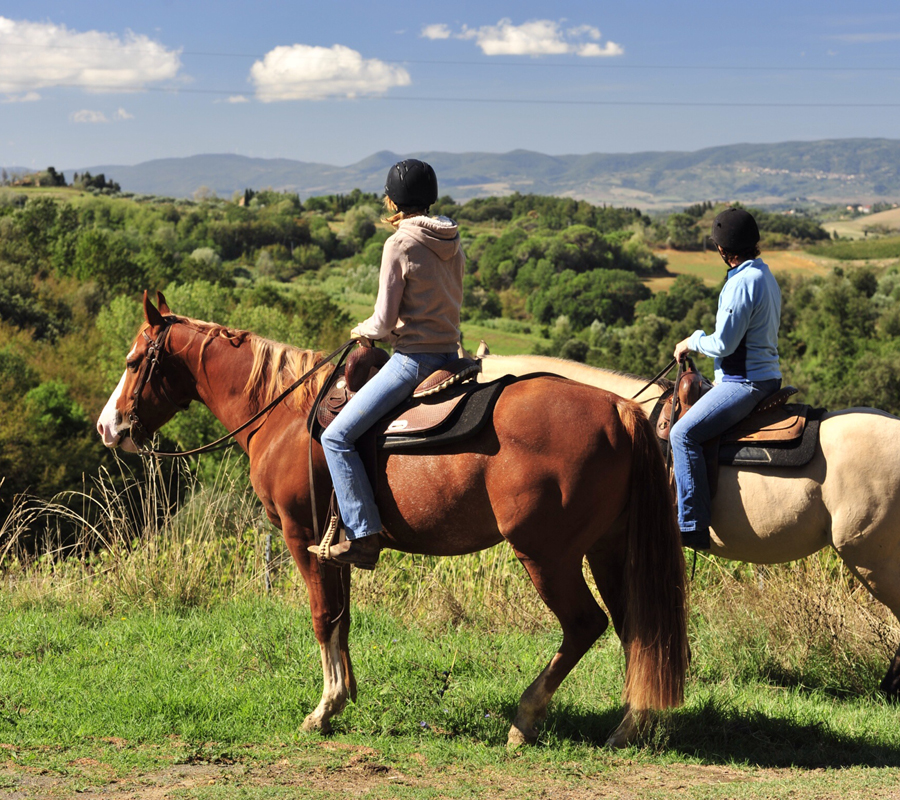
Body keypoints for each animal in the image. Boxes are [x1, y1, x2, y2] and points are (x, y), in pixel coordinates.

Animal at [98, 296, 684, 752]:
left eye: (134, 360)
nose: (109, 427)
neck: (284, 414)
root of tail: (620, 411)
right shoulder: (336, 546)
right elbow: (343, 618)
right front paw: (345, 694)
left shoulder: (300, 537)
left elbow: (323, 617)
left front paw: (325, 708)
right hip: (607, 549)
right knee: (637, 629)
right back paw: (630, 726)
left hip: (547, 554)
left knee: (586, 624)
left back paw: (526, 718)